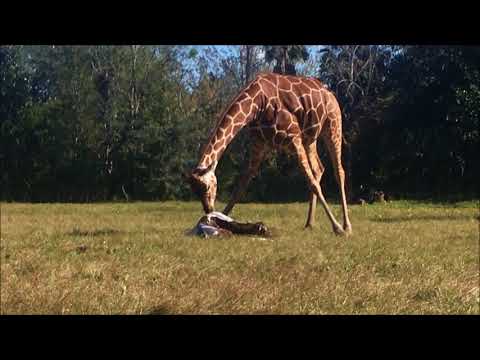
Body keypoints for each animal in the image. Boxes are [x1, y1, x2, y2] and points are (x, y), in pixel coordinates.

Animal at [188, 73, 352, 236]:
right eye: (195, 191)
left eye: (207, 187)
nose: (208, 209)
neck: (256, 106)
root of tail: (330, 93)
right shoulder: (259, 144)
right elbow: (241, 185)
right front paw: (221, 219)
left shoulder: (294, 138)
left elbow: (312, 183)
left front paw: (337, 227)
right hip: (310, 138)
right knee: (318, 169)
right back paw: (309, 223)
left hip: (333, 124)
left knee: (339, 171)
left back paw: (346, 226)